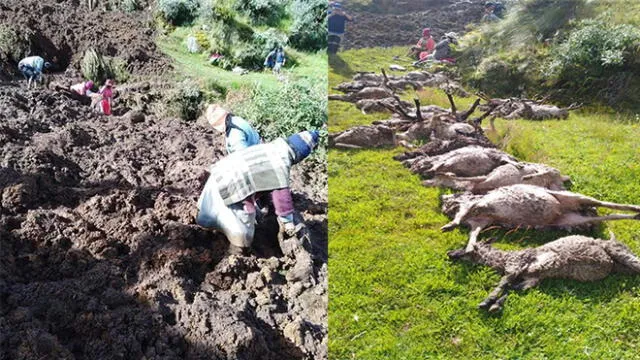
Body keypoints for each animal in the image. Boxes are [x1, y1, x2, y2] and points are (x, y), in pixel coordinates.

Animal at [448, 233, 640, 312]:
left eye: (465, 248)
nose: (449, 253)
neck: (503, 259)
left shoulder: (515, 264)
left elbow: (503, 284)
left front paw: (487, 302)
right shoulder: (532, 277)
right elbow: (517, 287)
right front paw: (496, 304)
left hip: (617, 250)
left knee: (635, 262)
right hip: (617, 264)